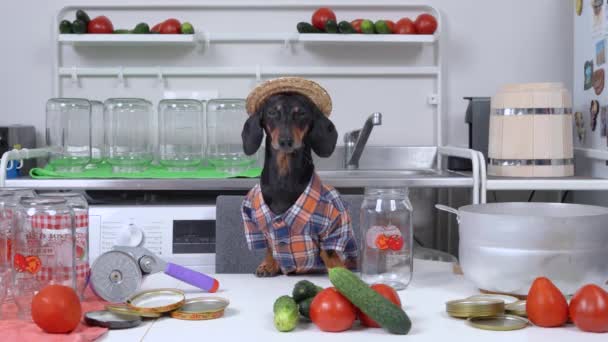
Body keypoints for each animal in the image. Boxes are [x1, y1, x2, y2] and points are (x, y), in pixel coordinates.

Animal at [241, 91, 358, 278]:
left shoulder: (335, 224)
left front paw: (338, 271)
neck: (284, 179)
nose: (285, 141)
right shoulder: (254, 221)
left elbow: (329, 251)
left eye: (302, 113)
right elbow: (269, 245)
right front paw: (268, 265)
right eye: (272, 112)